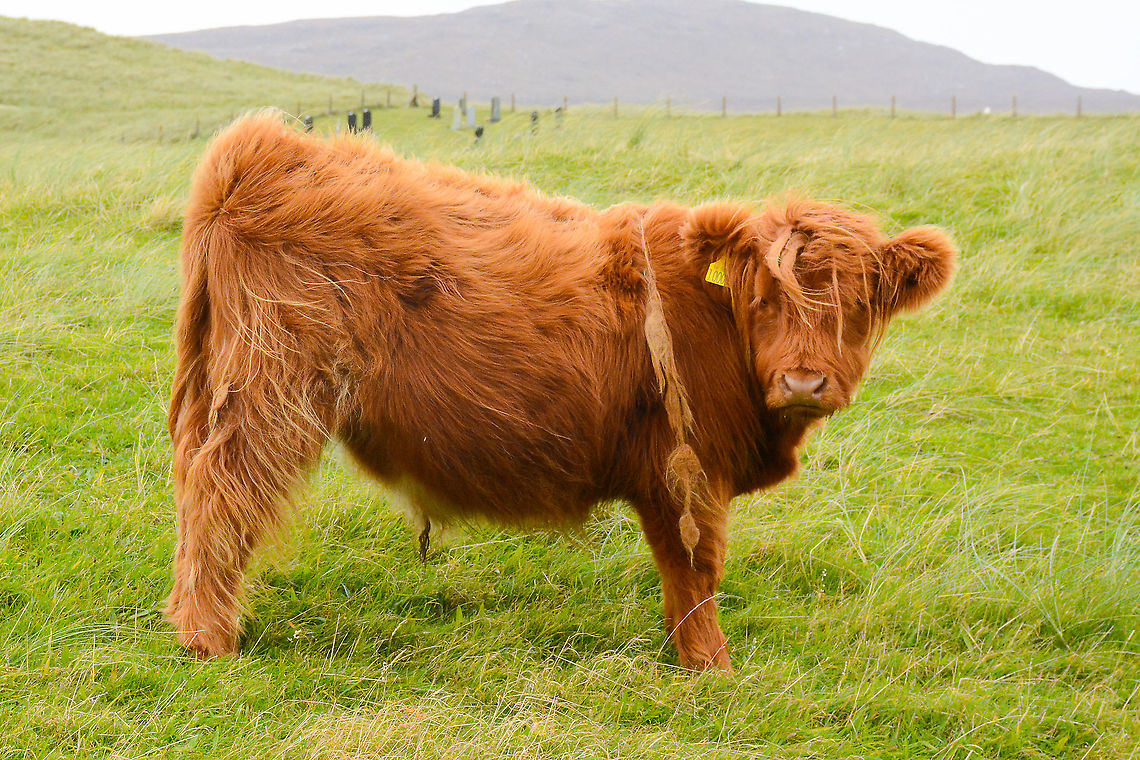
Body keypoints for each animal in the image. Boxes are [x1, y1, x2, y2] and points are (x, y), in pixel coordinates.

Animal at [165, 114, 956, 671]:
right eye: (762, 298)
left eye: (862, 306)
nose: (803, 380)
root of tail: (261, 147)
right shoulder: (686, 471)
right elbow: (695, 568)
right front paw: (711, 666)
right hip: (269, 386)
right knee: (224, 488)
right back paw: (209, 637)